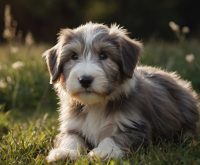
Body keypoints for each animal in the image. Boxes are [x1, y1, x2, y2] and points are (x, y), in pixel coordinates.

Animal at [42, 21, 198, 162]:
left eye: (104, 55)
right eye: (74, 56)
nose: (85, 80)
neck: (97, 104)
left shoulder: (136, 128)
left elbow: (113, 138)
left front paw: (102, 153)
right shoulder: (73, 126)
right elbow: (71, 139)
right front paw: (65, 153)